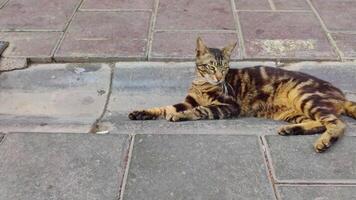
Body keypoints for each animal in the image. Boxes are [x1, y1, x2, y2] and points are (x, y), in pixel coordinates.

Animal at [129, 37, 356, 152]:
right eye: (211, 66)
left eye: (224, 67)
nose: (219, 77)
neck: (202, 83)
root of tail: (342, 94)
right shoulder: (188, 101)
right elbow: (165, 107)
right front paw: (143, 112)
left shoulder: (228, 106)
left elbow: (200, 110)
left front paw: (179, 116)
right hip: (293, 111)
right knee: (320, 123)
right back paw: (292, 130)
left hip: (305, 97)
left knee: (336, 123)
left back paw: (324, 142)